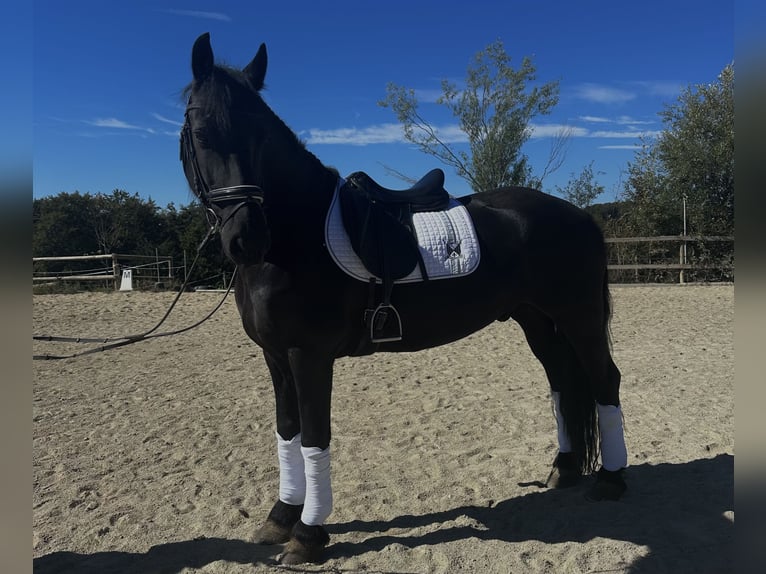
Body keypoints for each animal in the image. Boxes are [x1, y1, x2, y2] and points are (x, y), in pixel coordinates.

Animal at [180, 32, 627, 565]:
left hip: (579, 317)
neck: (294, 239)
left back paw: (611, 480)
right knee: (562, 382)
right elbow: (287, 432)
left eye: (261, 139)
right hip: (536, 319)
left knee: (604, 380)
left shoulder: (309, 356)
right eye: (201, 133)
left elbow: (315, 436)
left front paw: (308, 535)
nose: (246, 238)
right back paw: (563, 468)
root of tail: (580, 216)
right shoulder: (275, 357)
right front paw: (280, 517)